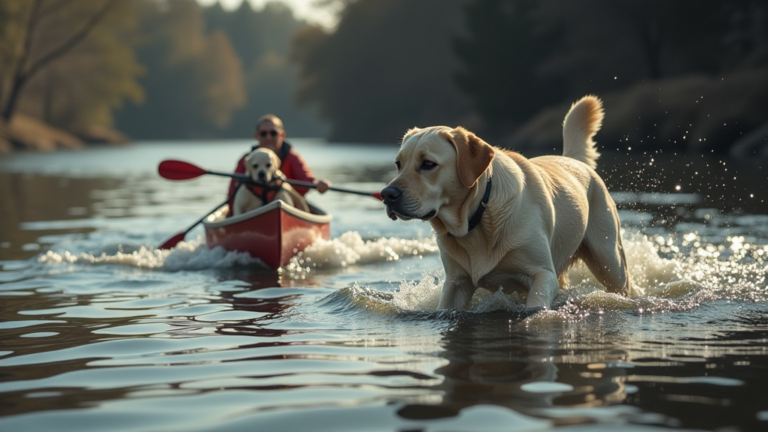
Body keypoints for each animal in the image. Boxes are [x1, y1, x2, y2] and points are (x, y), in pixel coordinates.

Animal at [380, 95, 632, 310]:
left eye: (428, 164)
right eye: (398, 164)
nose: (386, 194)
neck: (478, 217)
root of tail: (573, 160)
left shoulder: (543, 275)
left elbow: (536, 306)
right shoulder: (456, 282)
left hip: (610, 261)